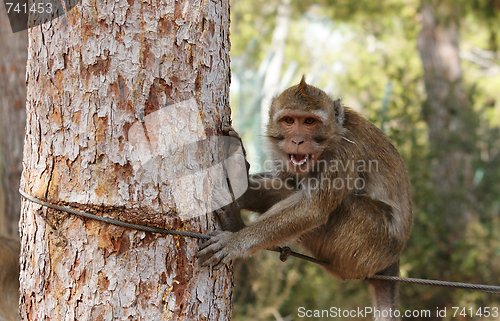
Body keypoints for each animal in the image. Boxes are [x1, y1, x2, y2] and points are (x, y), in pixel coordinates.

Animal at [197, 76, 412, 318]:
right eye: (289, 121)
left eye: (310, 121)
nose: (298, 140)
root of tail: (393, 260)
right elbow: (287, 181)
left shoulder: (343, 153)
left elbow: (313, 209)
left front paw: (235, 241)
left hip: (367, 245)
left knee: (342, 205)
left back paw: (235, 224)